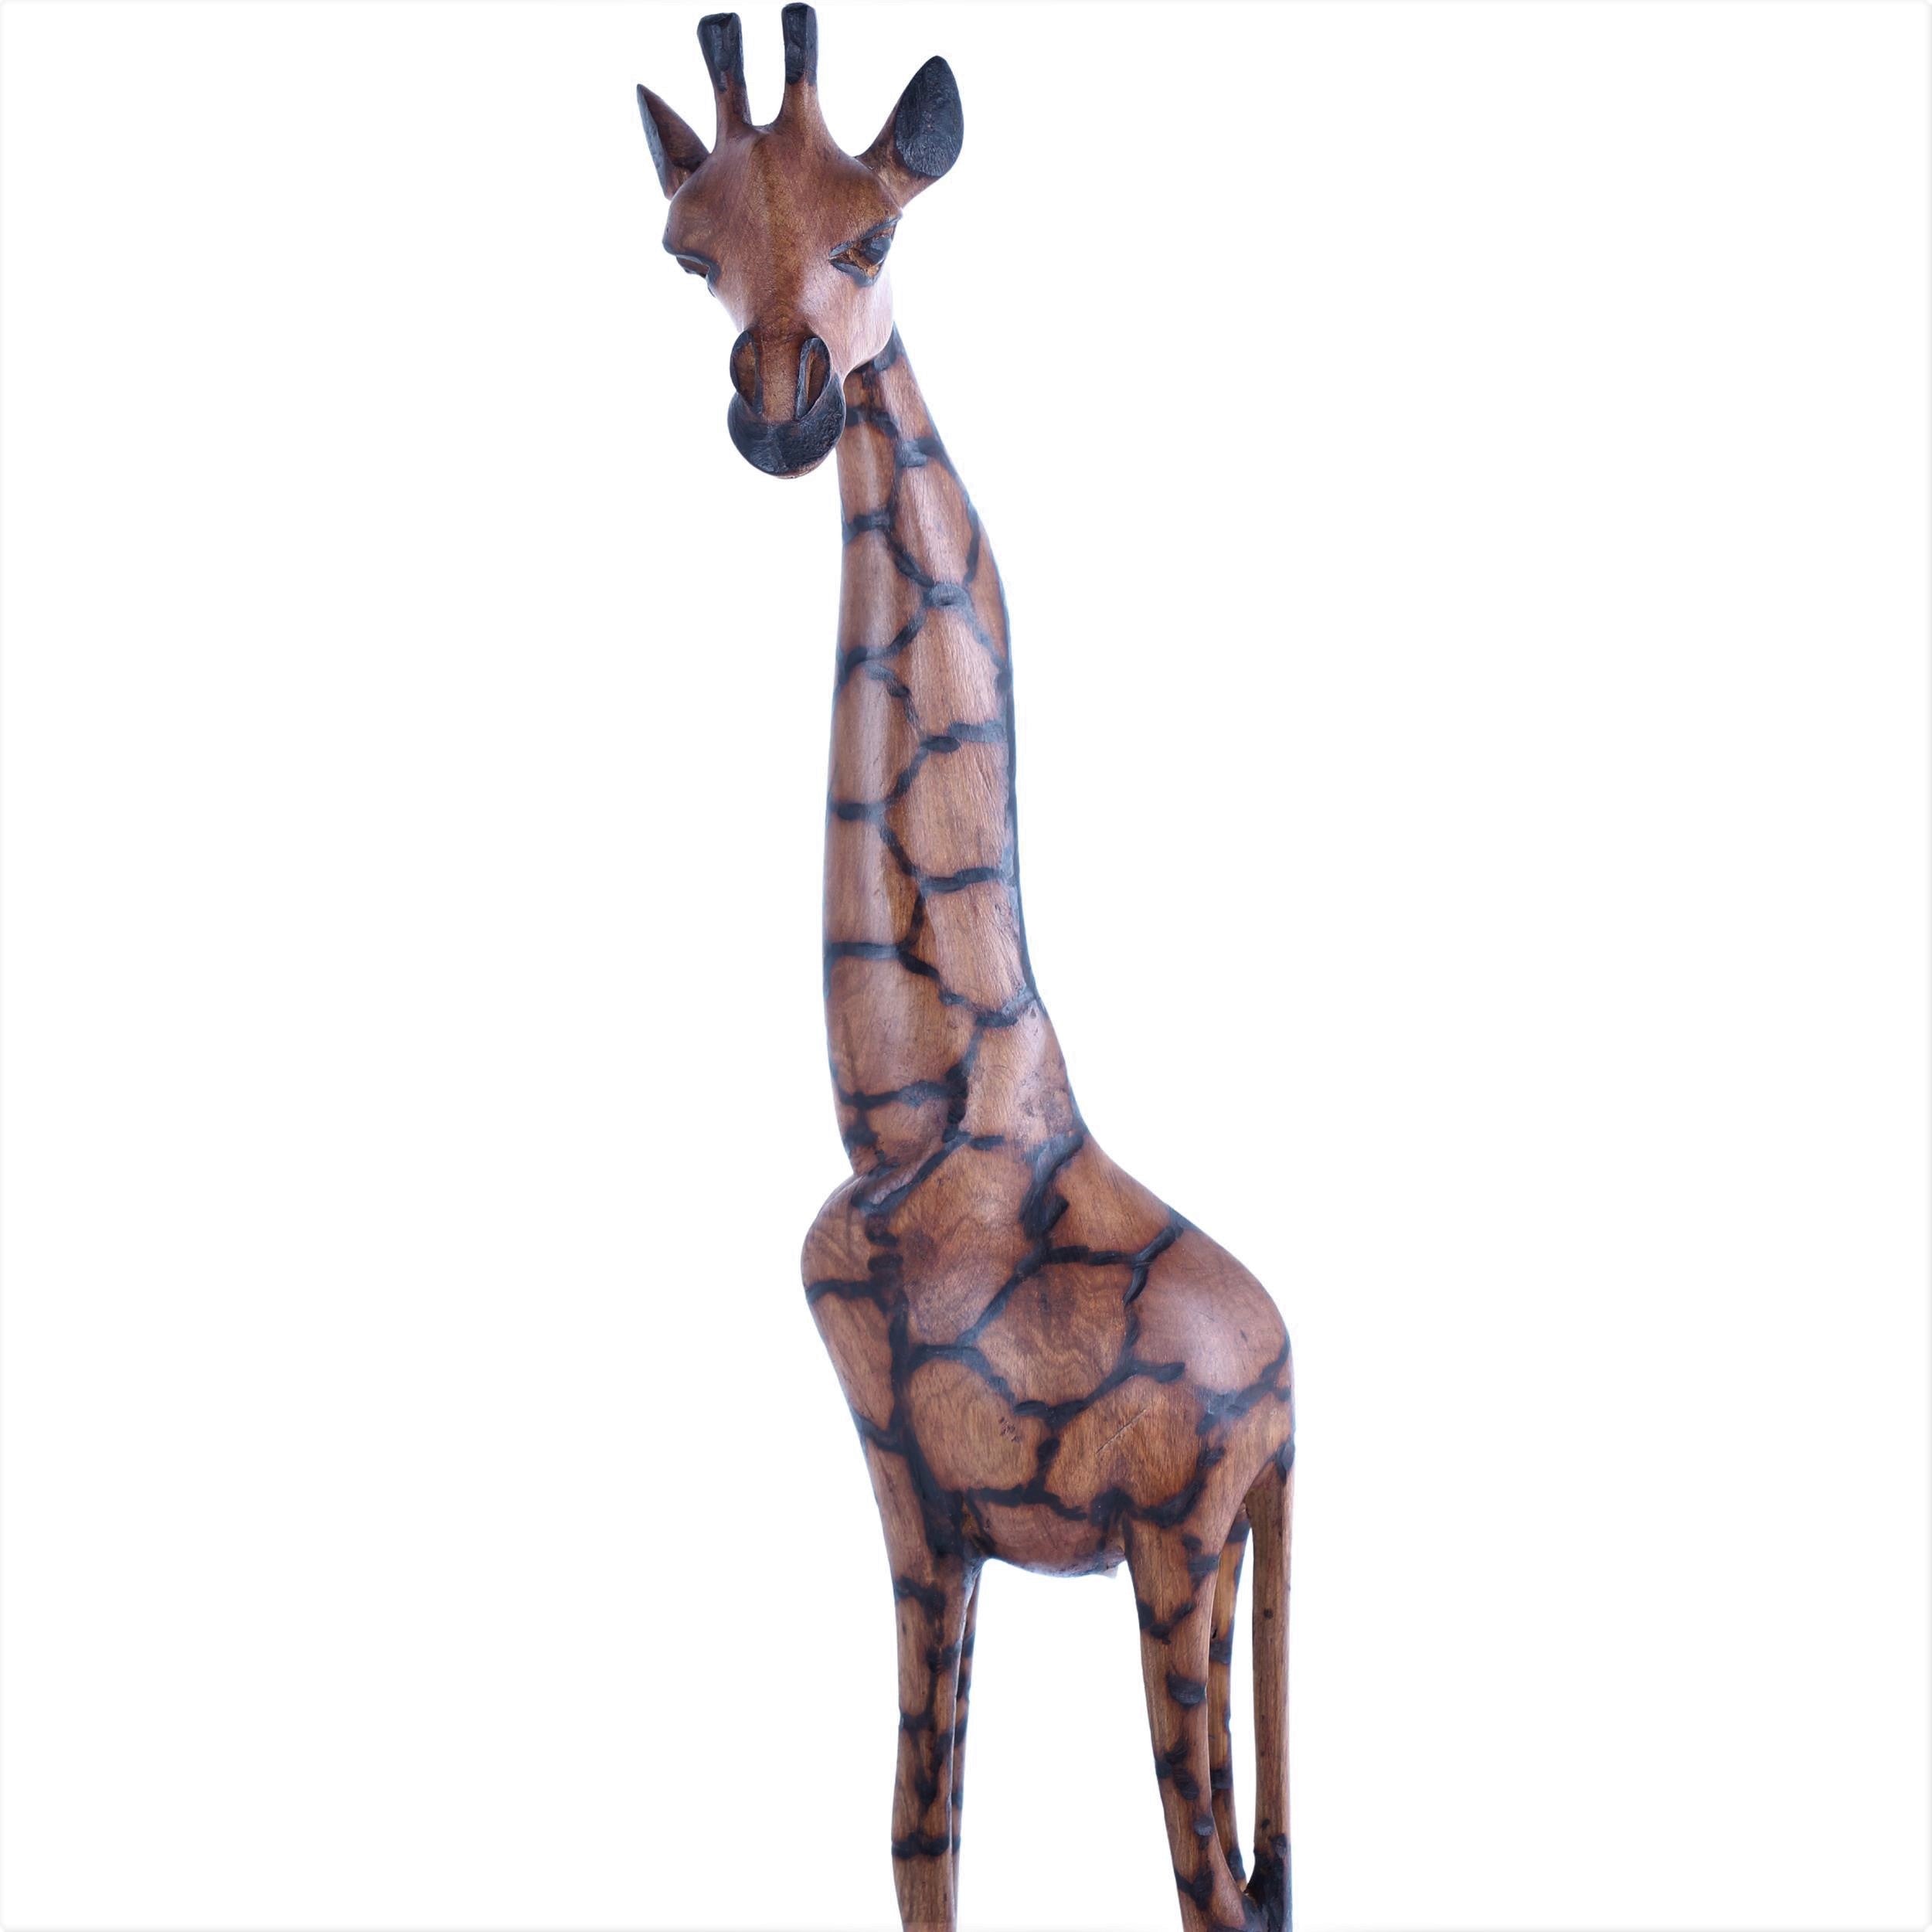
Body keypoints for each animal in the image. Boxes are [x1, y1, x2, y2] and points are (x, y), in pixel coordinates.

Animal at [637, 13, 1295, 1931]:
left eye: (875, 239)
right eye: (685, 253)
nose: (780, 405)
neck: (913, 1101)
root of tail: (1288, 1378)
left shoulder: (915, 1478)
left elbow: (922, 1831)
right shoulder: (929, 1492)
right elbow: (922, 1838)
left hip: (1184, 1539)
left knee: (1213, 1878)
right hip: (1222, 1548)